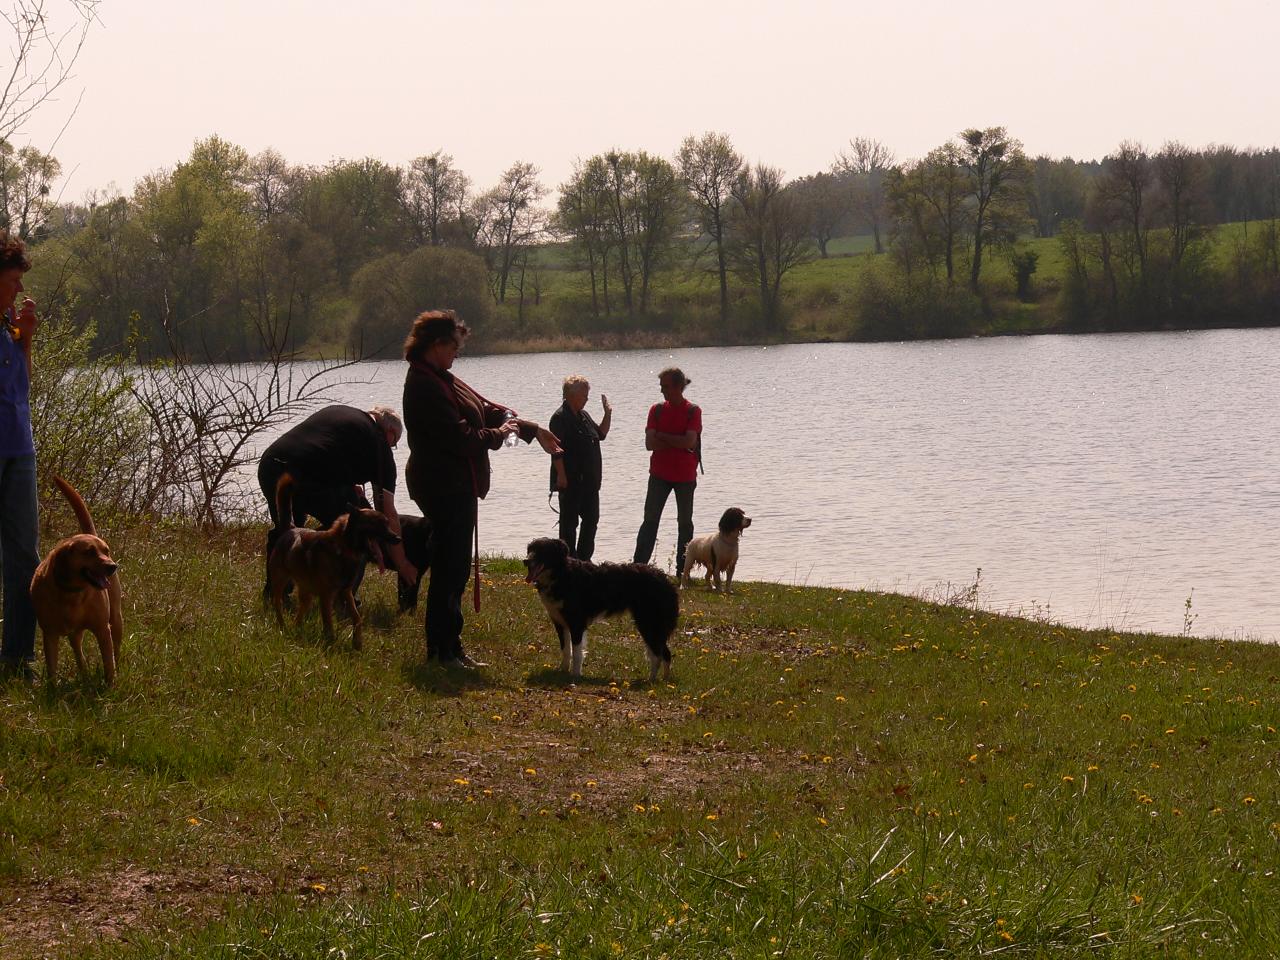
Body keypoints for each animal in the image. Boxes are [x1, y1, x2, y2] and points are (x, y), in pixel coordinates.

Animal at [30, 478, 124, 686]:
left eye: (106, 551)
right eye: (89, 552)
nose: (113, 566)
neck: (72, 592)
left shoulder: (102, 630)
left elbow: (109, 662)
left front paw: (111, 685)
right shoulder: (50, 633)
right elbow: (52, 667)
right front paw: (53, 689)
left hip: (116, 619)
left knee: (115, 650)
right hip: (75, 634)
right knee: (79, 653)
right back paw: (85, 674)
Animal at [270, 476, 404, 655]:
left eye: (387, 524)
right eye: (377, 524)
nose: (397, 538)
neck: (344, 549)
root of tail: (290, 529)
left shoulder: (346, 592)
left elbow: (357, 617)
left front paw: (357, 643)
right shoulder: (327, 596)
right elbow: (328, 623)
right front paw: (331, 644)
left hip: (307, 593)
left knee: (300, 611)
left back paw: (296, 630)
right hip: (280, 581)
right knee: (277, 604)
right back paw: (282, 627)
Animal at [519, 542, 680, 686]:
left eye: (541, 550)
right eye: (530, 549)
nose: (526, 561)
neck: (561, 575)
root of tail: (665, 579)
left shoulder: (576, 623)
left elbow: (576, 653)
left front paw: (575, 675)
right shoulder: (560, 622)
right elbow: (566, 650)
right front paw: (562, 671)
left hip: (648, 622)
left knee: (659, 655)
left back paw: (651, 680)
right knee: (665, 653)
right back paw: (664, 680)